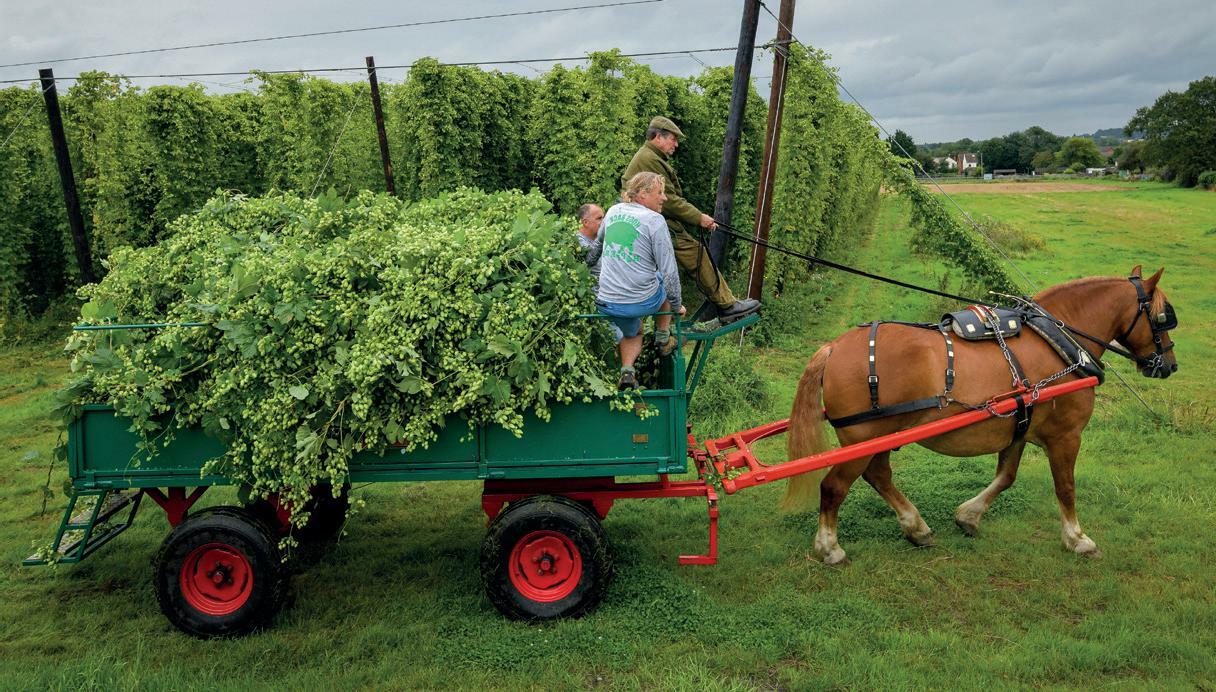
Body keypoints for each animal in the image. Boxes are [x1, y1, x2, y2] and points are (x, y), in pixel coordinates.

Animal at [782, 266, 1178, 565]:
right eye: (1162, 318)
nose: (1170, 365)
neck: (1058, 341)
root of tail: (834, 348)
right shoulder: (1066, 436)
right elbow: (1065, 487)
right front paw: (1077, 538)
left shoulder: (1019, 425)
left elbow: (1006, 476)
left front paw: (968, 516)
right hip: (864, 437)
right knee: (834, 486)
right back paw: (830, 548)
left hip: (879, 436)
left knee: (878, 476)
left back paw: (916, 528)